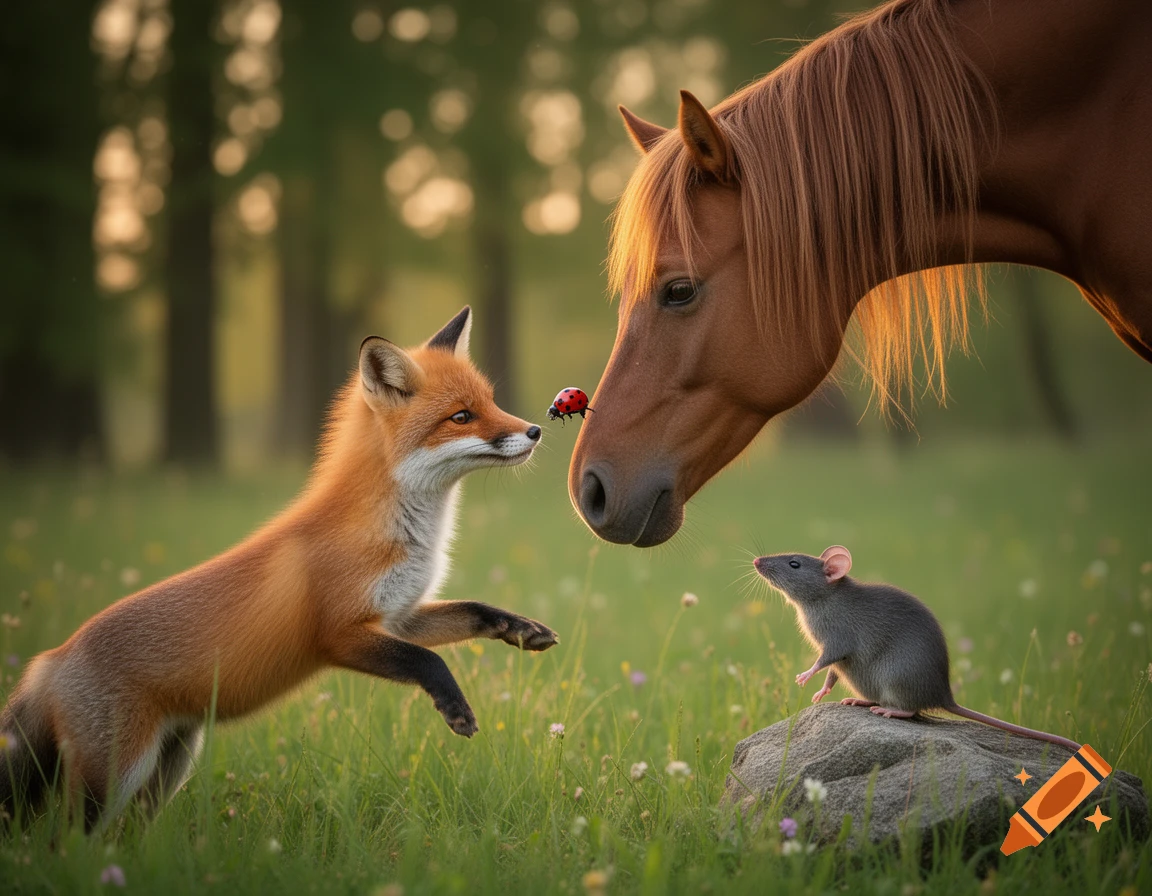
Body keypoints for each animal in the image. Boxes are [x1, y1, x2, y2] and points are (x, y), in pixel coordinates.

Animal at [0, 307, 558, 830]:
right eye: (462, 417)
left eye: (491, 403)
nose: (534, 430)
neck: (402, 535)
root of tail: (49, 660)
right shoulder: (339, 635)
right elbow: (429, 661)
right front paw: (456, 708)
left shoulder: (399, 616)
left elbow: (473, 611)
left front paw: (521, 629)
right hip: (112, 781)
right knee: (64, 844)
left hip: (164, 770)